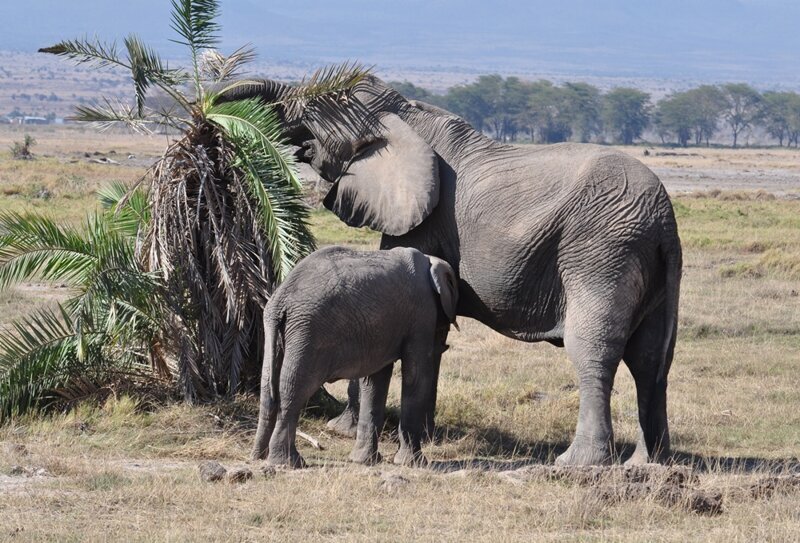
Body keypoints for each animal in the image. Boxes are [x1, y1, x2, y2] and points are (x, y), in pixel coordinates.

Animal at [253, 245, 460, 468]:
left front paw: (364, 461)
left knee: (268, 387)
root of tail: (279, 300)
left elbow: (375, 380)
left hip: (279, 331)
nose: (444, 343)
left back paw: (260, 456)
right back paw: (289, 463)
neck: (431, 261)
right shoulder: (422, 313)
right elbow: (415, 375)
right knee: (295, 388)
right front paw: (414, 464)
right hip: (308, 333)